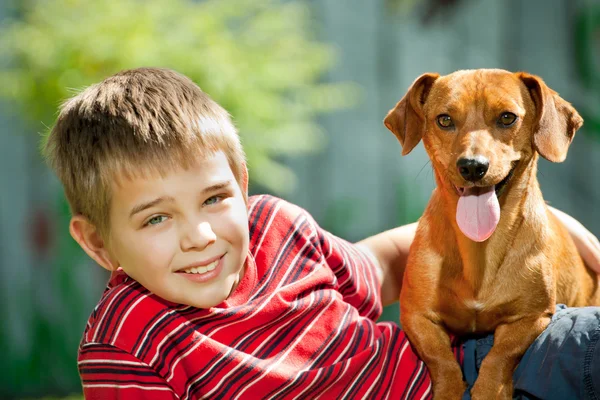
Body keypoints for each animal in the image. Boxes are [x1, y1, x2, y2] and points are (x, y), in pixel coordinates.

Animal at [384, 69, 600, 400]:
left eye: (507, 117)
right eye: (444, 119)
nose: (472, 166)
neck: (479, 251)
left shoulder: (533, 316)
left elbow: (501, 355)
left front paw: (489, 389)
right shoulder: (416, 315)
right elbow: (441, 359)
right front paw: (450, 389)